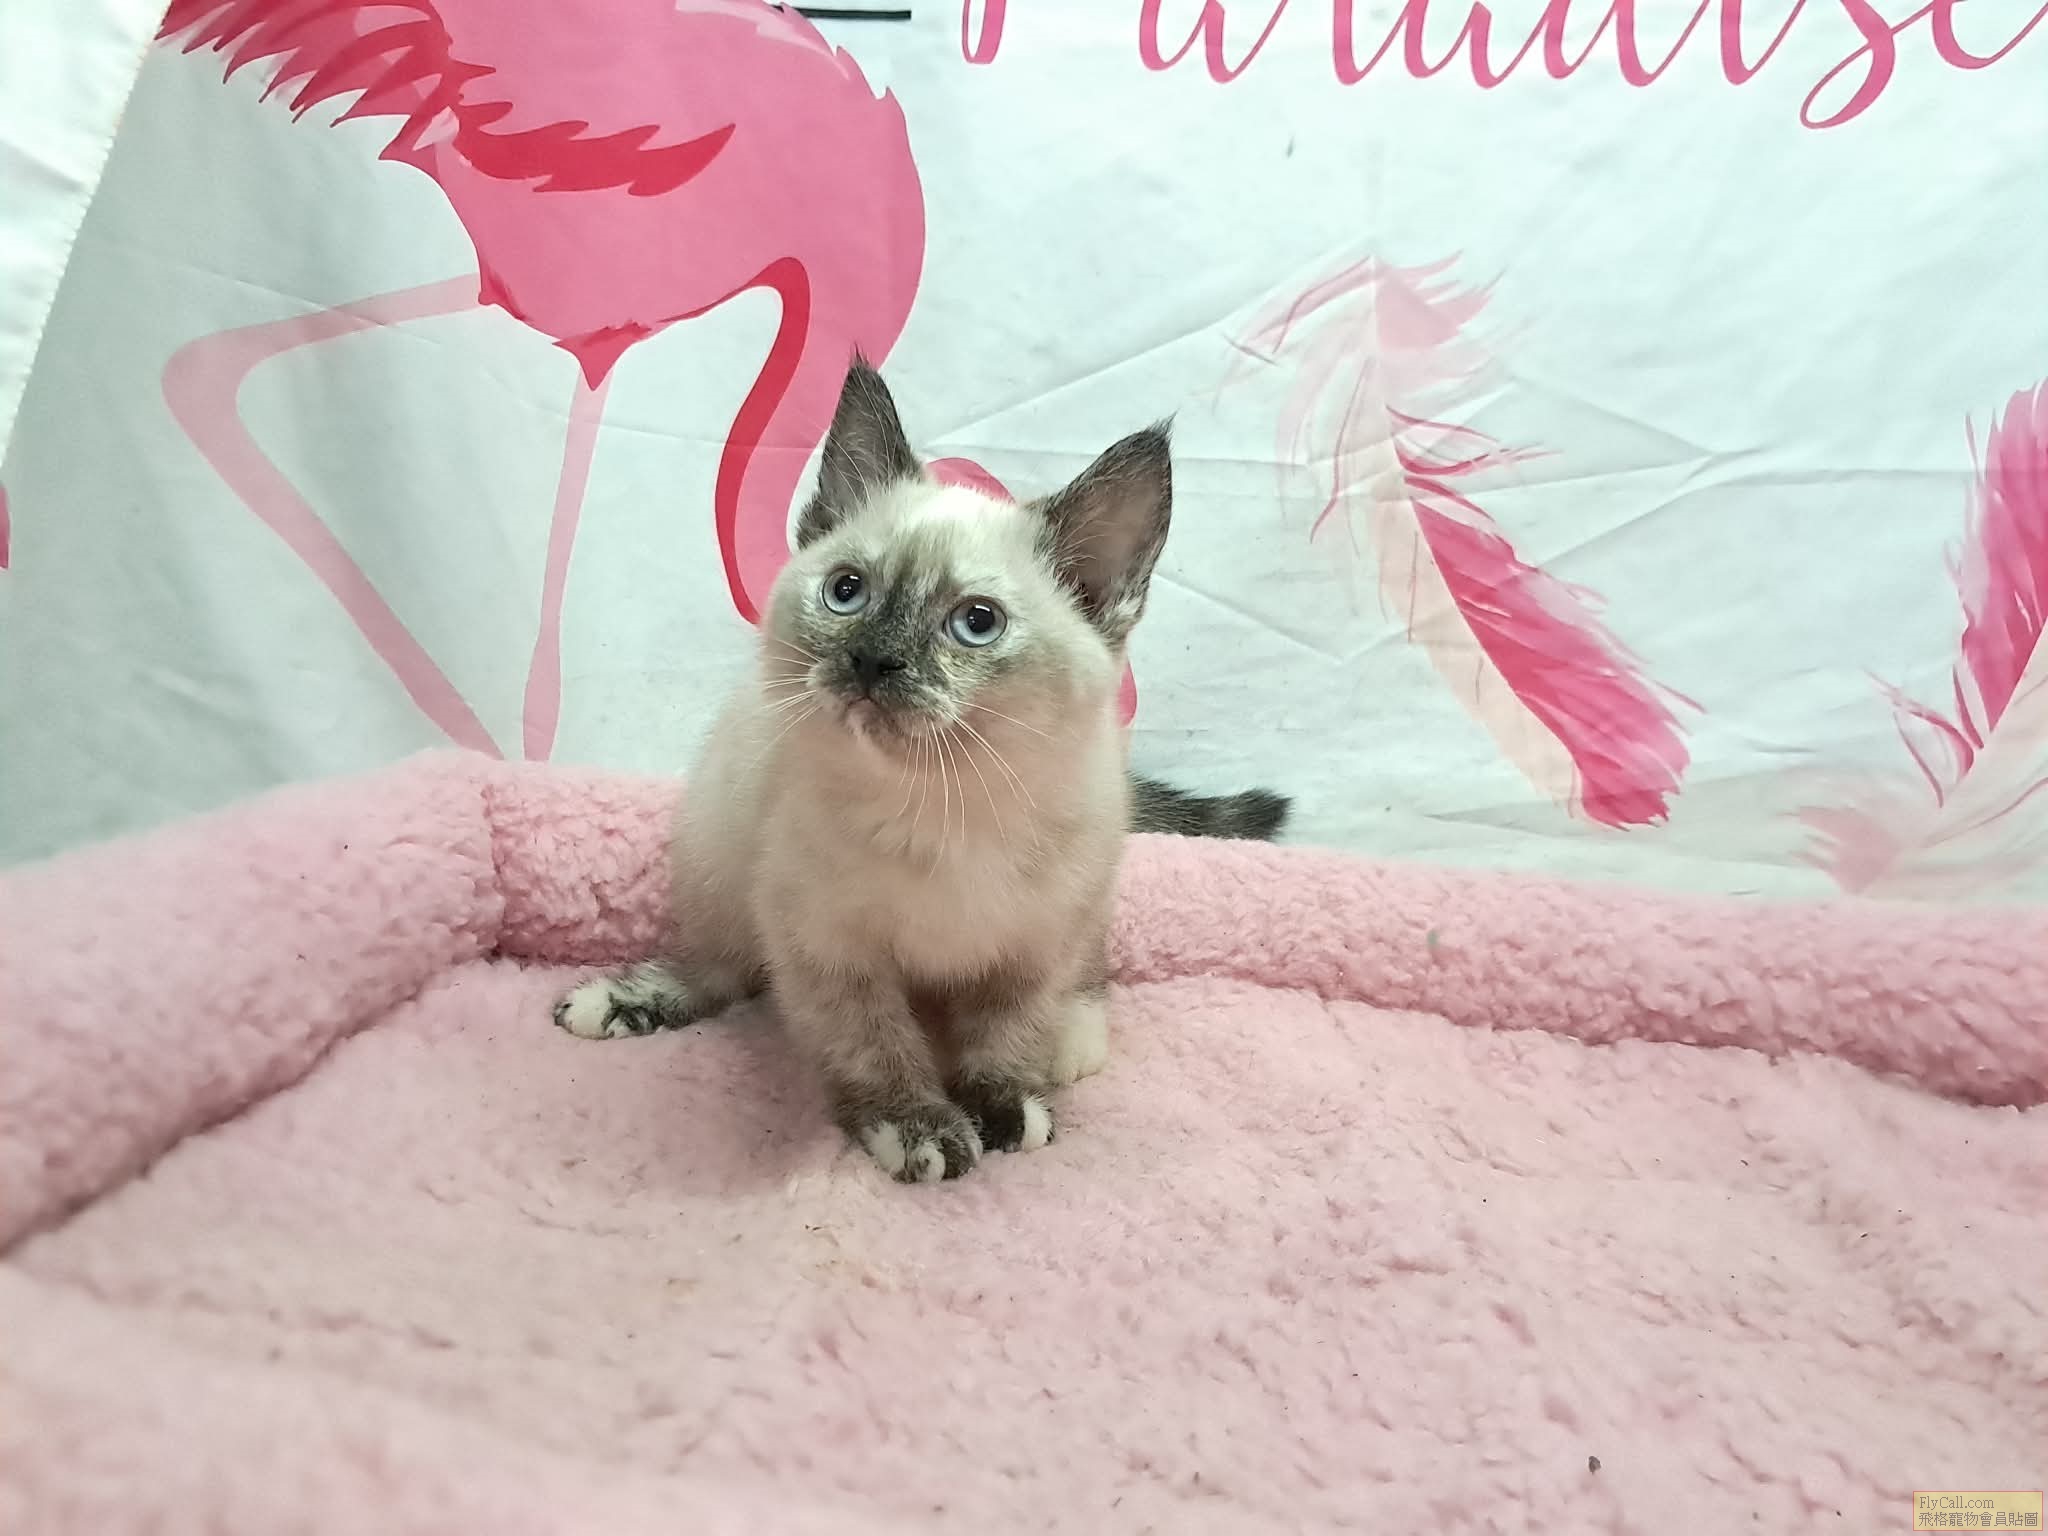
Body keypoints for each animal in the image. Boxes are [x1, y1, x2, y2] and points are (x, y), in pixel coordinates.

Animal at [555, 358, 1289, 1182]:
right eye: (846, 592)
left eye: (976, 623)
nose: (872, 660)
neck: (945, 802)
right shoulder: (826, 946)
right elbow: (875, 1044)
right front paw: (916, 1129)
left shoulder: (1036, 944)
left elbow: (1007, 1030)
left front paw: (1004, 1105)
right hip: (720, 844)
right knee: (721, 962)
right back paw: (626, 1001)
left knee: (1080, 978)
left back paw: (1073, 1040)